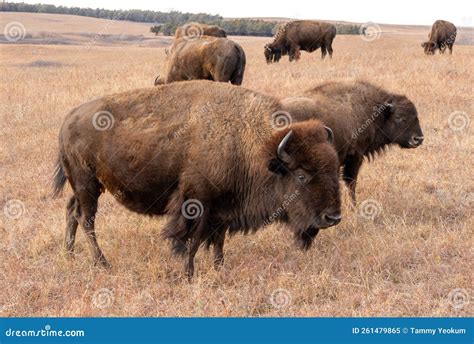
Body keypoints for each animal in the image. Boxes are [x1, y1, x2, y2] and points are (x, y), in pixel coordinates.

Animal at [51, 80, 340, 276]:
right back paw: (102, 263)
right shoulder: (196, 203)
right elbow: (193, 240)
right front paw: (189, 274)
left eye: (334, 169)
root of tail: (68, 118)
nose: (333, 217)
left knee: (71, 211)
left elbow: (218, 240)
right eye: (301, 175)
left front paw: (219, 268)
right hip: (87, 184)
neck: (247, 141)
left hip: (86, 186)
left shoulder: (223, 208)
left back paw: (69, 254)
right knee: (86, 218)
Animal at [284, 80, 424, 204]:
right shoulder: (355, 156)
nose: (418, 139)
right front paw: (353, 205)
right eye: (399, 117)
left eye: (416, 116)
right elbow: (350, 181)